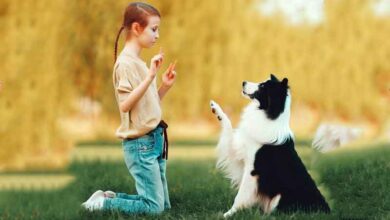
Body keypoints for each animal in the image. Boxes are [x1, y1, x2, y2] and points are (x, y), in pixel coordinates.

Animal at [210, 74, 330, 218]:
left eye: (262, 86)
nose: (243, 82)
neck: (269, 114)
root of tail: (326, 210)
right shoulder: (240, 155)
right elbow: (228, 127)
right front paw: (216, 109)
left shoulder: (252, 170)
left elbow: (240, 196)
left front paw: (227, 214)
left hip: (280, 196)